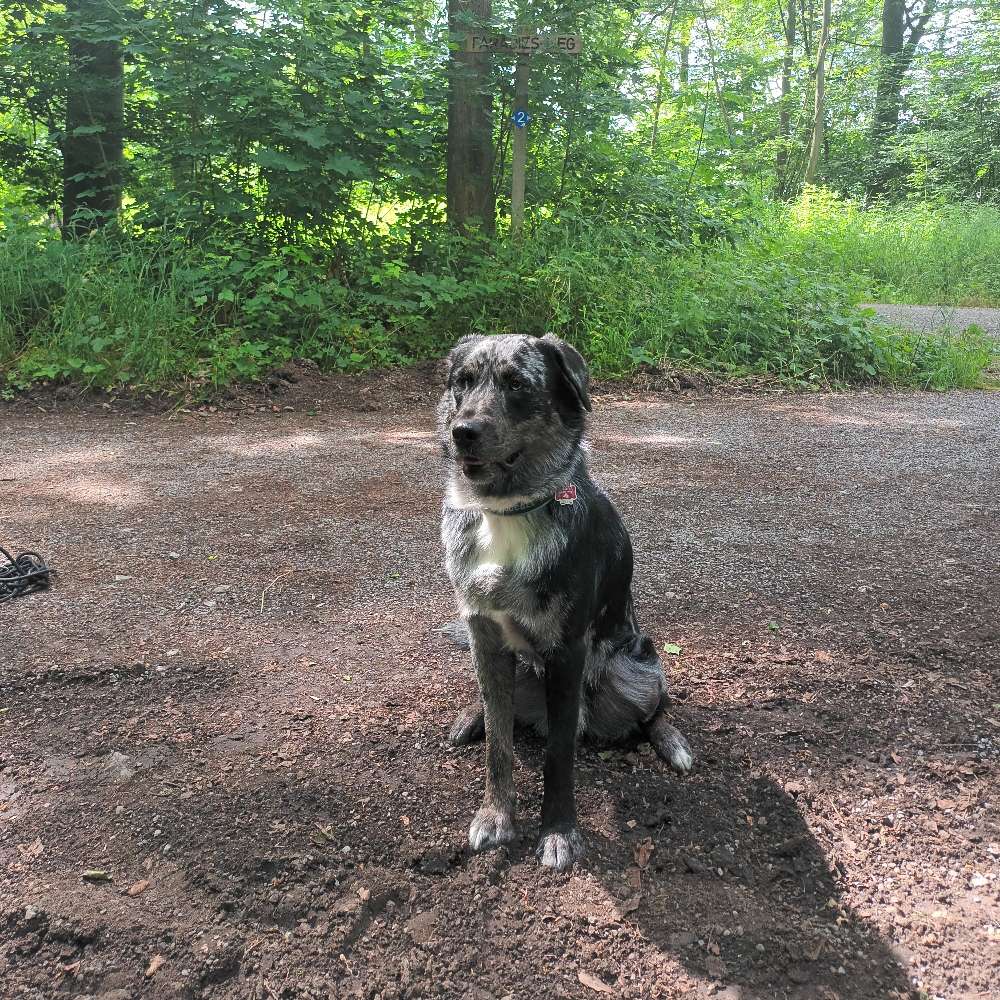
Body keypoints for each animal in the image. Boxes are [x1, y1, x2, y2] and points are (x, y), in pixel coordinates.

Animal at [442, 334, 692, 868]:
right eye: (462, 381)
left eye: (518, 384)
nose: (462, 432)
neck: (505, 512)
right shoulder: (484, 635)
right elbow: (499, 744)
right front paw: (496, 815)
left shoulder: (567, 651)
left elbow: (558, 755)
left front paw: (558, 833)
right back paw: (470, 717)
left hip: (636, 667)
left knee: (654, 710)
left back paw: (672, 741)